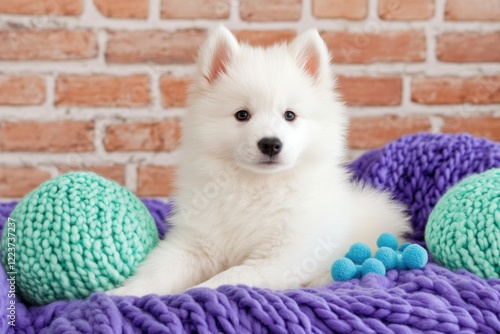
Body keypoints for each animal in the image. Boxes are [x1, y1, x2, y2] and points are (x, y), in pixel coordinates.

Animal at [110, 26, 410, 298]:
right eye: (242, 115)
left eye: (290, 115)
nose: (270, 144)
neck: (256, 185)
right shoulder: (196, 242)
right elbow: (160, 271)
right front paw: (123, 293)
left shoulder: (282, 256)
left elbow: (231, 275)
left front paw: (195, 292)